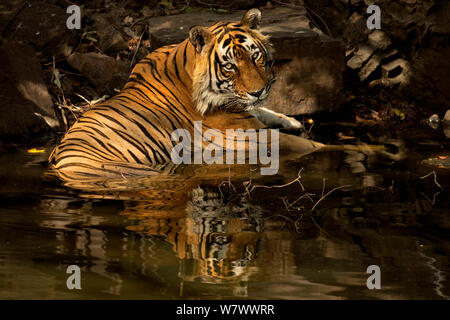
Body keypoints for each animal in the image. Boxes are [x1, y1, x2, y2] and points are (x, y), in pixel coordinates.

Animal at [49, 8, 320, 182]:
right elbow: (310, 145)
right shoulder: (250, 134)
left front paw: (292, 121)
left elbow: (263, 110)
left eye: (256, 57)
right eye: (230, 66)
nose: (259, 91)